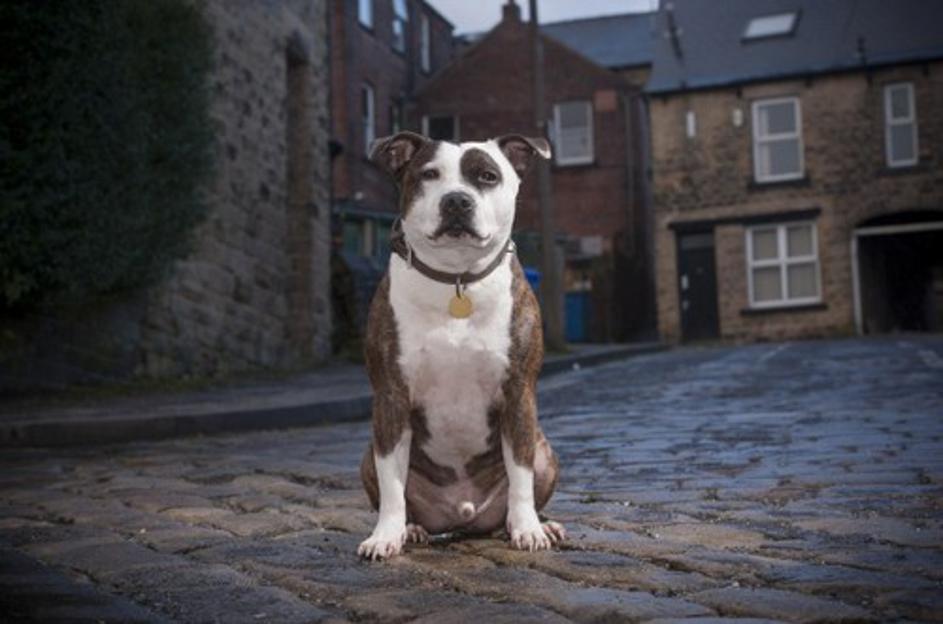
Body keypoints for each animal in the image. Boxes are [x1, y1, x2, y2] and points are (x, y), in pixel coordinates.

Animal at [358, 132, 564, 560]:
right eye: (429, 175)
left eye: (487, 176)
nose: (456, 200)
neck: (456, 280)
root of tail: (462, 517)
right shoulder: (390, 396)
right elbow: (391, 485)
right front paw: (385, 535)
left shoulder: (518, 394)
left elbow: (521, 476)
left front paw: (528, 530)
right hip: (368, 454)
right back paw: (412, 529)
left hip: (546, 451)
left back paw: (538, 524)